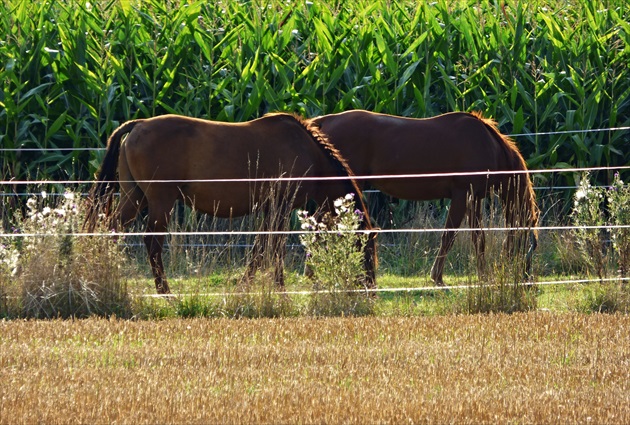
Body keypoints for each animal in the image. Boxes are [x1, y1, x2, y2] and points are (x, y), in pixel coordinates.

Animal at [86, 111, 378, 294]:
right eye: (366, 250)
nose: (372, 291)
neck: (309, 154)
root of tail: (138, 124)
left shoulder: (271, 209)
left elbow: (261, 249)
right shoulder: (281, 207)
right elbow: (273, 249)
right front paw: (279, 290)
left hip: (133, 197)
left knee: (109, 230)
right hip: (160, 202)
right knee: (152, 244)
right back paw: (164, 292)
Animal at [308, 109, 540, 284]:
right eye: (528, 244)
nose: (527, 278)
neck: (488, 145)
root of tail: (324, 121)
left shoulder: (474, 198)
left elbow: (478, 237)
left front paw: (483, 276)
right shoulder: (461, 195)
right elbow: (448, 236)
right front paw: (437, 277)